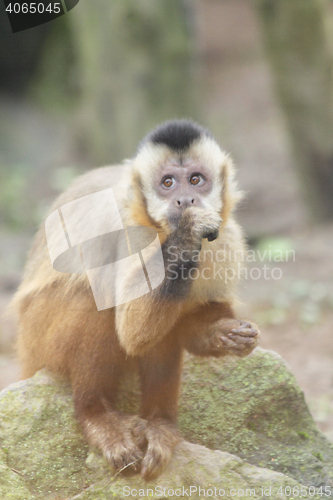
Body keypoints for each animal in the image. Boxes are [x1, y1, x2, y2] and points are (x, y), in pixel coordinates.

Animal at [11, 120, 258, 480]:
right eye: (168, 183)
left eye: (196, 179)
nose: (185, 200)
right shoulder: (128, 229)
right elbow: (131, 331)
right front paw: (187, 231)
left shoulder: (226, 235)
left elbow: (194, 318)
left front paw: (225, 332)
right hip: (37, 338)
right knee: (96, 298)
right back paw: (95, 414)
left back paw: (159, 423)